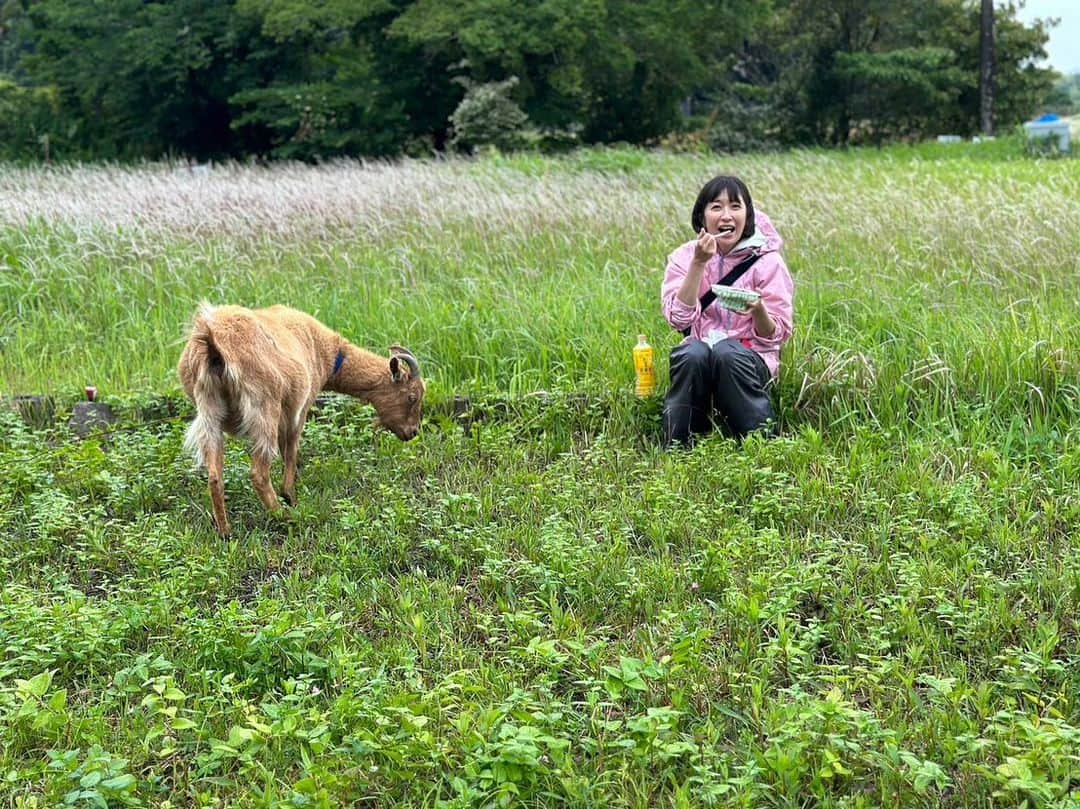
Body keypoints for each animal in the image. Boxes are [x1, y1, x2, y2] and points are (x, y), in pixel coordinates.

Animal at [174, 302, 423, 535]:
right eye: (412, 396)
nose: (412, 433)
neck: (327, 351)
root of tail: (212, 341)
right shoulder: (298, 409)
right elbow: (291, 451)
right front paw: (289, 496)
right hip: (264, 408)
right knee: (259, 474)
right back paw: (283, 516)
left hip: (209, 410)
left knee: (214, 475)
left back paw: (225, 530)